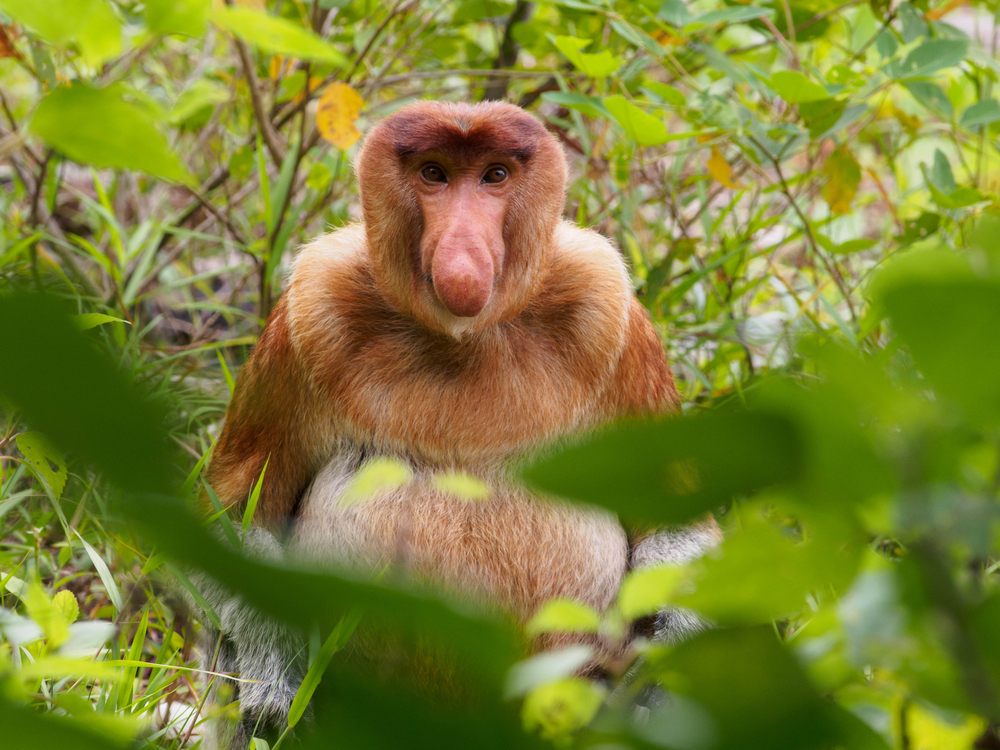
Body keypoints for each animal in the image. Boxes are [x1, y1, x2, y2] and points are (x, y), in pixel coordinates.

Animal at [201, 101, 720, 750]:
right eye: (434, 174)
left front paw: (662, 686)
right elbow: (241, 512)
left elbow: (671, 528)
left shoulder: (613, 315)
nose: (462, 251)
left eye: (495, 176)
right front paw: (273, 684)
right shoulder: (307, 313)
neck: (463, 339)